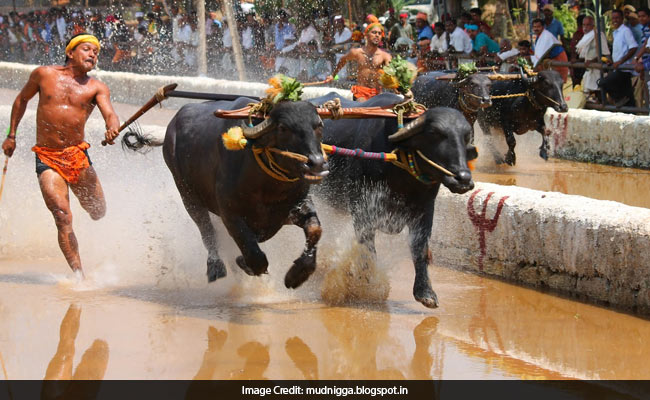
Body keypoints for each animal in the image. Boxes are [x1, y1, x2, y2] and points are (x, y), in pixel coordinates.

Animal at [125, 99, 330, 290]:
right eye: (283, 128)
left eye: (318, 125)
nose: (317, 163)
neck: (268, 186)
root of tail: (170, 130)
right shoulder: (230, 214)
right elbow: (253, 252)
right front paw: (243, 263)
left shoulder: (296, 206)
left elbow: (315, 229)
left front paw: (298, 275)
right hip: (188, 196)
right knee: (206, 231)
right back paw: (215, 267)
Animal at [308, 92, 476, 308]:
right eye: (434, 133)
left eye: (466, 137)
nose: (463, 179)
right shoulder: (363, 211)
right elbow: (367, 248)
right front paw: (366, 284)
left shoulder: (424, 210)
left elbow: (420, 249)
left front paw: (426, 293)